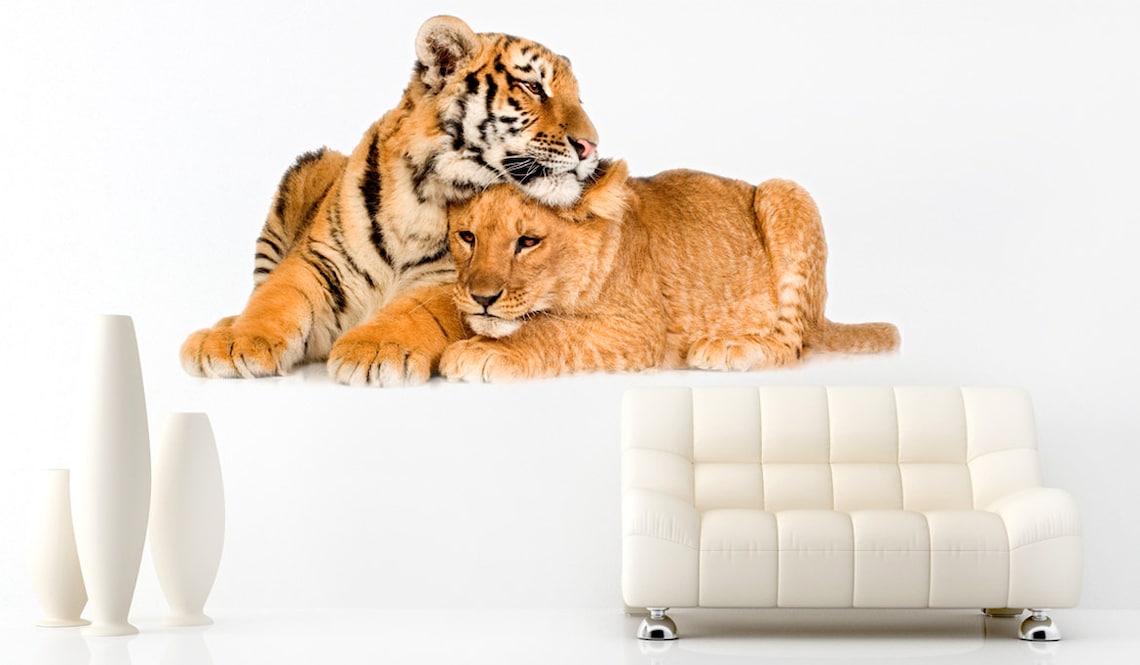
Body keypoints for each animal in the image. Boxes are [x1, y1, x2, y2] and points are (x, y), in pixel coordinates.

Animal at [179, 15, 599, 383]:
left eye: (579, 99)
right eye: (534, 88)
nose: (591, 146)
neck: (425, 194)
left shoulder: (454, 280)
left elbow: (416, 310)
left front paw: (374, 349)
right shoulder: (318, 259)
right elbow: (278, 296)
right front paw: (233, 343)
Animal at [351, 159, 900, 384]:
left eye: (528, 242)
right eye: (467, 237)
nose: (483, 298)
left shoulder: (640, 331)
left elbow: (552, 331)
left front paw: (486, 351)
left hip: (785, 192)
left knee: (792, 344)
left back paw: (731, 347)